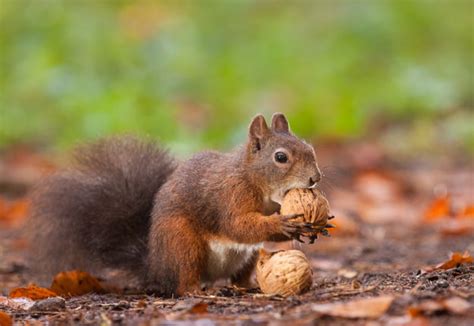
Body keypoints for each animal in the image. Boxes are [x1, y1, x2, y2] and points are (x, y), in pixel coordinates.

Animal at [26, 113, 322, 296]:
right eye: (280, 157)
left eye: (310, 148)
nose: (315, 178)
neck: (253, 179)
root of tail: (155, 266)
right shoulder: (230, 196)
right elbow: (238, 225)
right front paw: (282, 224)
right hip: (182, 243)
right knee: (183, 280)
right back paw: (197, 291)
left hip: (246, 257)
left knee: (239, 275)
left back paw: (247, 285)